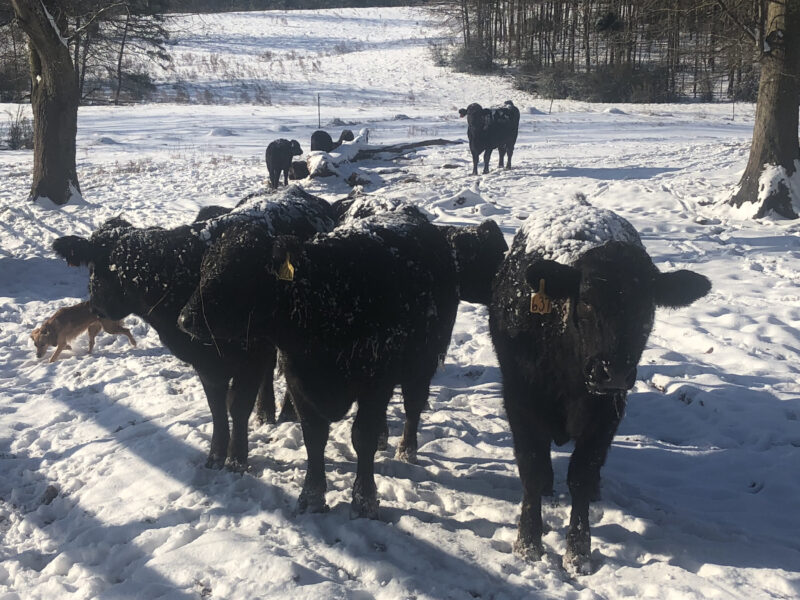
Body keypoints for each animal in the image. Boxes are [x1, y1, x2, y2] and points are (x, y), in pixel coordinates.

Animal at [489, 194, 710, 574]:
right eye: (588, 301)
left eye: (647, 306)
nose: (613, 372)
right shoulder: (520, 400)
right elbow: (531, 468)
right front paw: (528, 544)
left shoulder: (607, 413)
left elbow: (581, 474)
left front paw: (578, 552)